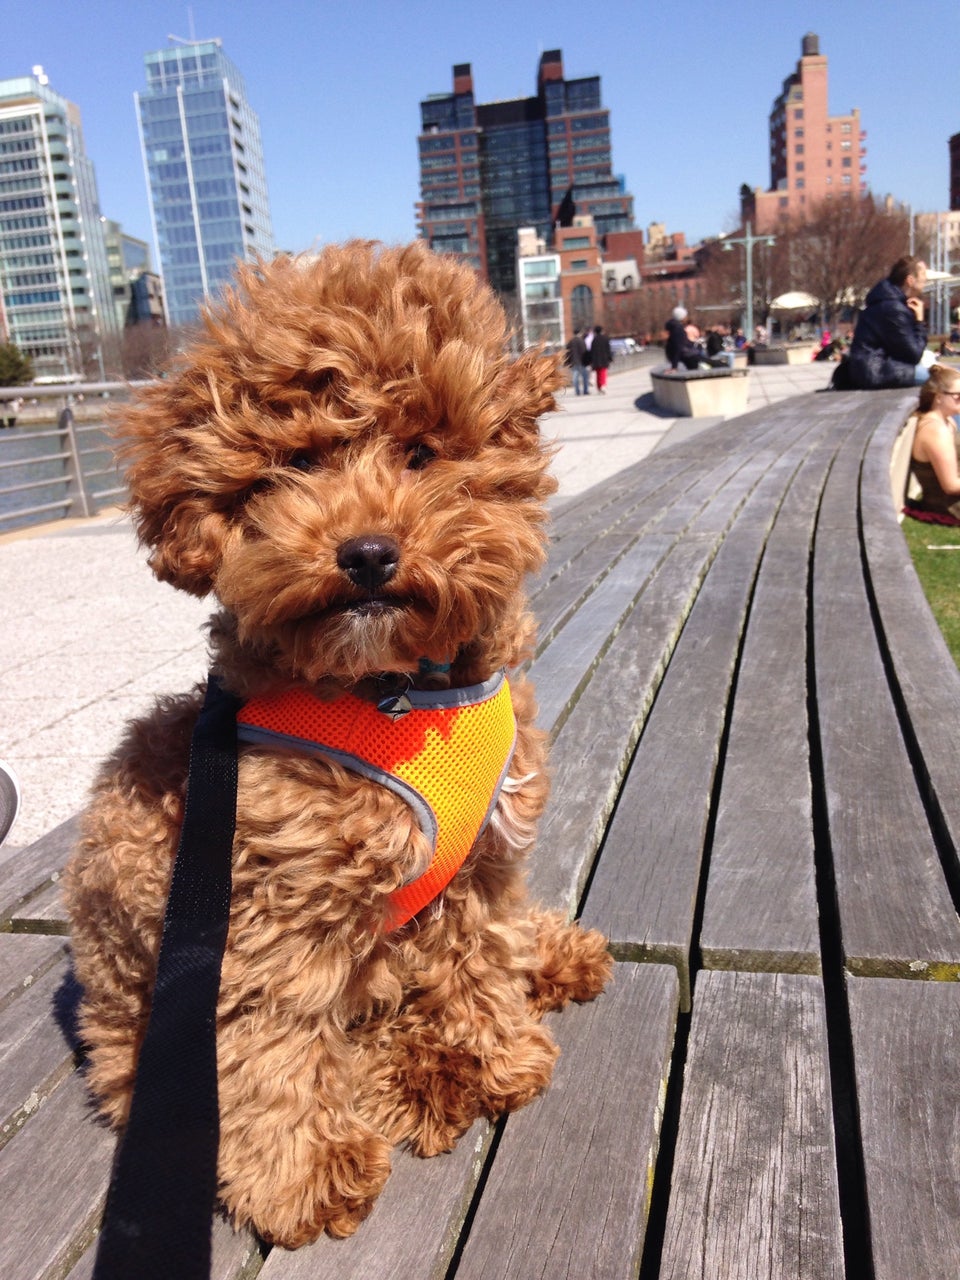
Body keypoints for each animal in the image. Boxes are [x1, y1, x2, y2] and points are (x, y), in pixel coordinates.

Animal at [65, 241, 609, 1249]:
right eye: (299, 463)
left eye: (422, 453)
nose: (366, 553)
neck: (394, 695)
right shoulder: (276, 904)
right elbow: (275, 1040)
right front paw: (305, 1175)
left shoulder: (480, 863)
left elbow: (479, 960)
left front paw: (494, 1054)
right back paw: (407, 1080)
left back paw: (535, 971)